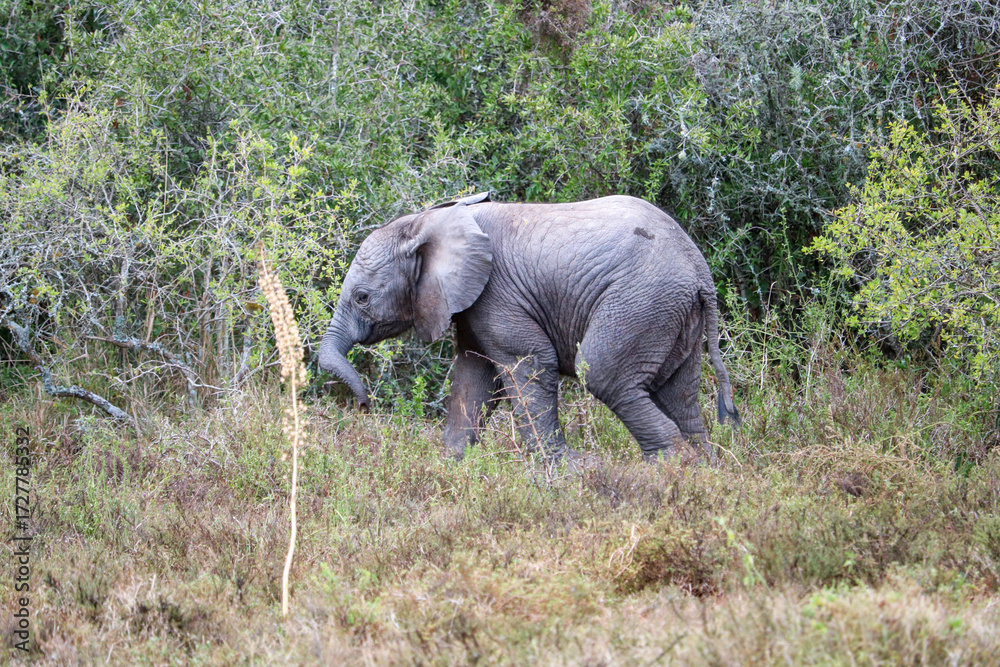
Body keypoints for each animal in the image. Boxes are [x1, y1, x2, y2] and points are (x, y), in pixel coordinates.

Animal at [317, 192, 740, 464]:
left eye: (362, 297)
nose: (364, 405)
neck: (429, 221)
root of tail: (700, 272)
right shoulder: (472, 304)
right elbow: (473, 376)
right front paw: (449, 466)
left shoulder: (496, 293)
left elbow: (529, 365)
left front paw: (566, 474)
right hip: (672, 313)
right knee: (679, 395)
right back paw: (703, 474)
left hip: (641, 301)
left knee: (603, 374)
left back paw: (662, 474)